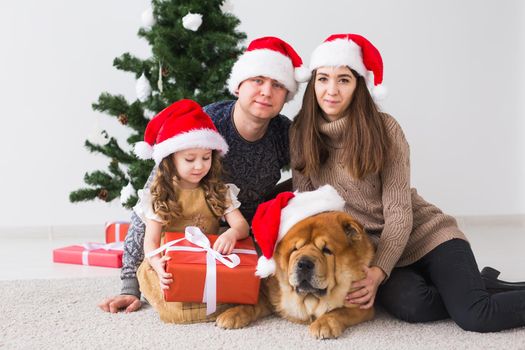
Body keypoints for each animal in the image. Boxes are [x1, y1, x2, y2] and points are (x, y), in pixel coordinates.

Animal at [215, 211, 374, 340]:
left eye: (327, 250)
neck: (308, 299)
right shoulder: (272, 297)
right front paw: (232, 314)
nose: (304, 263)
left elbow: (340, 311)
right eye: (295, 249)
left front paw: (324, 324)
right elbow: (254, 304)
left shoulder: (362, 303)